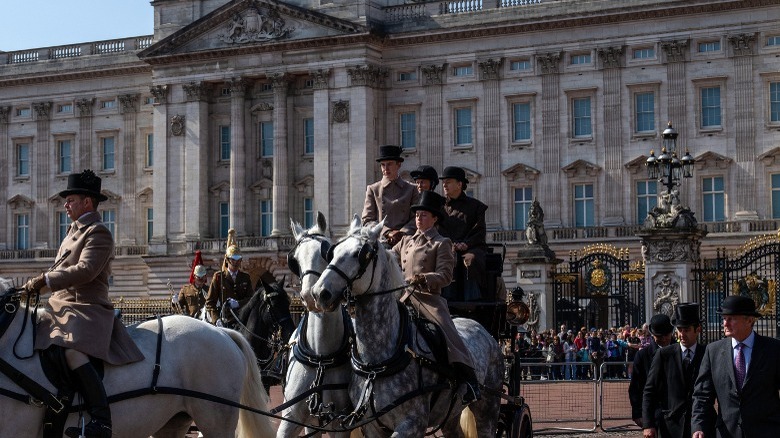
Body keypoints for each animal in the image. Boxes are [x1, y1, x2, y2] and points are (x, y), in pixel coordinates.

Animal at [278, 210, 352, 436]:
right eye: (294, 260)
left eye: (327, 252)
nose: (311, 295)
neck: (321, 357)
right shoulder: (290, 418)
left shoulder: (340, 424)